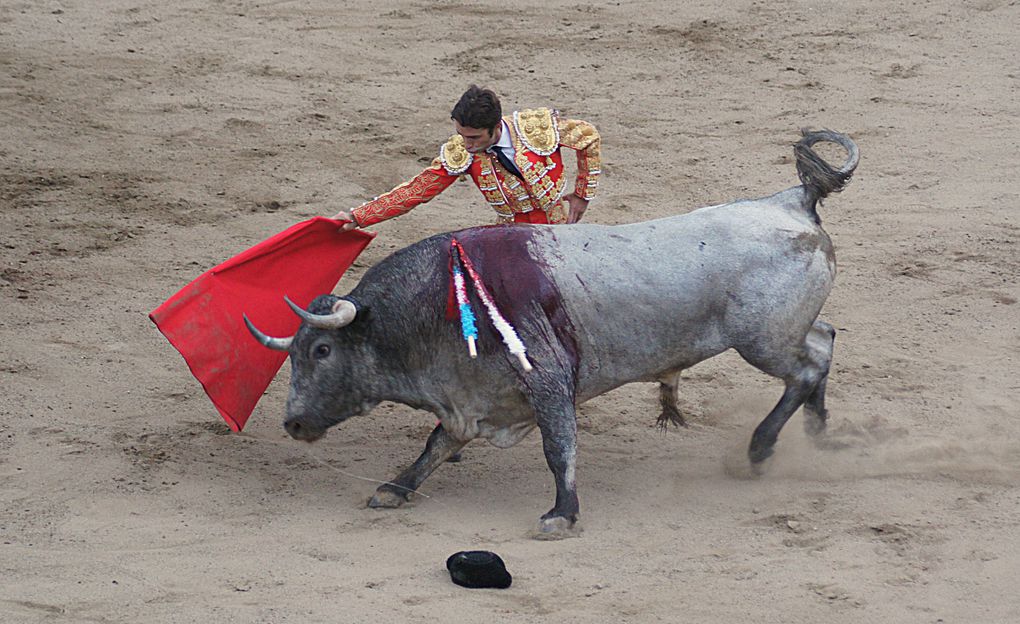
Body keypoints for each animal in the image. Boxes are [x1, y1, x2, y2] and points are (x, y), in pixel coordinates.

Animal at [246, 130, 860, 534]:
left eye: (322, 349)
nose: (293, 422)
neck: (436, 304)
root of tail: (792, 200)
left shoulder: (546, 380)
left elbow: (557, 446)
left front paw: (562, 514)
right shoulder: (467, 394)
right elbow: (438, 444)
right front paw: (395, 488)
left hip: (762, 341)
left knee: (805, 368)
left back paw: (760, 450)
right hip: (782, 333)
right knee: (824, 341)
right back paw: (819, 433)